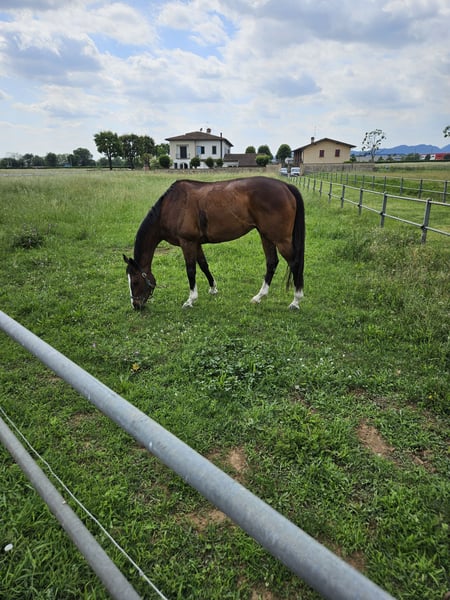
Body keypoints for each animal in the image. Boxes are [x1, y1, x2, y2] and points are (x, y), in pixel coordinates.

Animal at [123, 176, 305, 311]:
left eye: (135, 281)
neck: (172, 206)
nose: (136, 305)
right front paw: (213, 289)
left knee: (295, 263)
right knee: (272, 262)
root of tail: (285, 186)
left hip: (280, 239)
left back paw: (296, 301)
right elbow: (204, 265)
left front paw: (190, 300)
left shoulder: (187, 242)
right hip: (266, 235)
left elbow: (191, 270)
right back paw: (259, 297)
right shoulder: (195, 243)